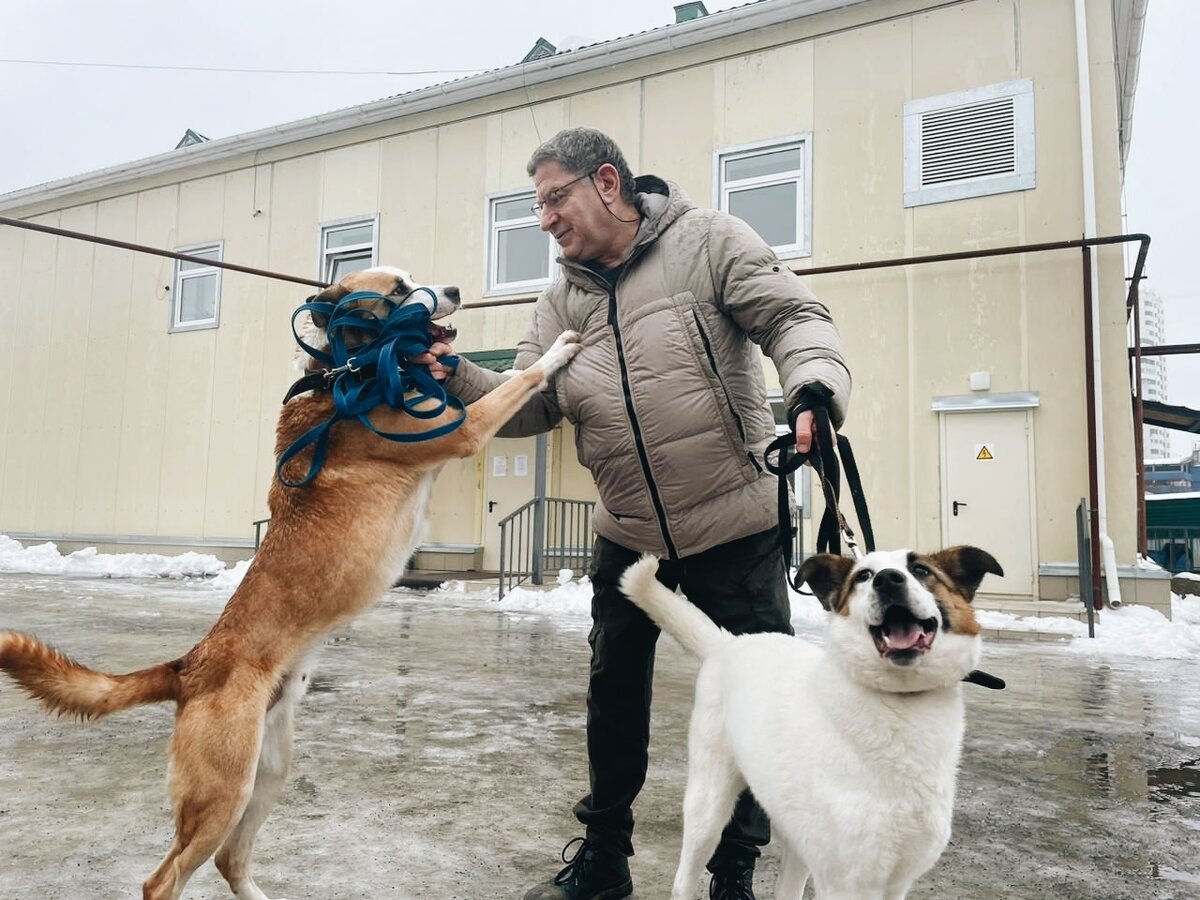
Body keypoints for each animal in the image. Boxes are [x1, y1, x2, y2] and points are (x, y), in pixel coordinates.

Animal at [0, 267, 580, 900]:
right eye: (399, 289)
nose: (452, 290)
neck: (348, 374)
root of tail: (188, 666)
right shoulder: (465, 429)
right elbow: (521, 377)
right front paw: (558, 348)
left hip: (269, 770)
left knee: (231, 860)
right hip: (223, 791)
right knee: (164, 879)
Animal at [619, 547, 1003, 897]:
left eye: (921, 570)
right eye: (863, 576)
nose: (888, 580)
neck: (899, 703)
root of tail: (728, 643)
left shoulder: (895, 882)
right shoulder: (847, 884)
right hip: (709, 807)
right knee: (685, 876)